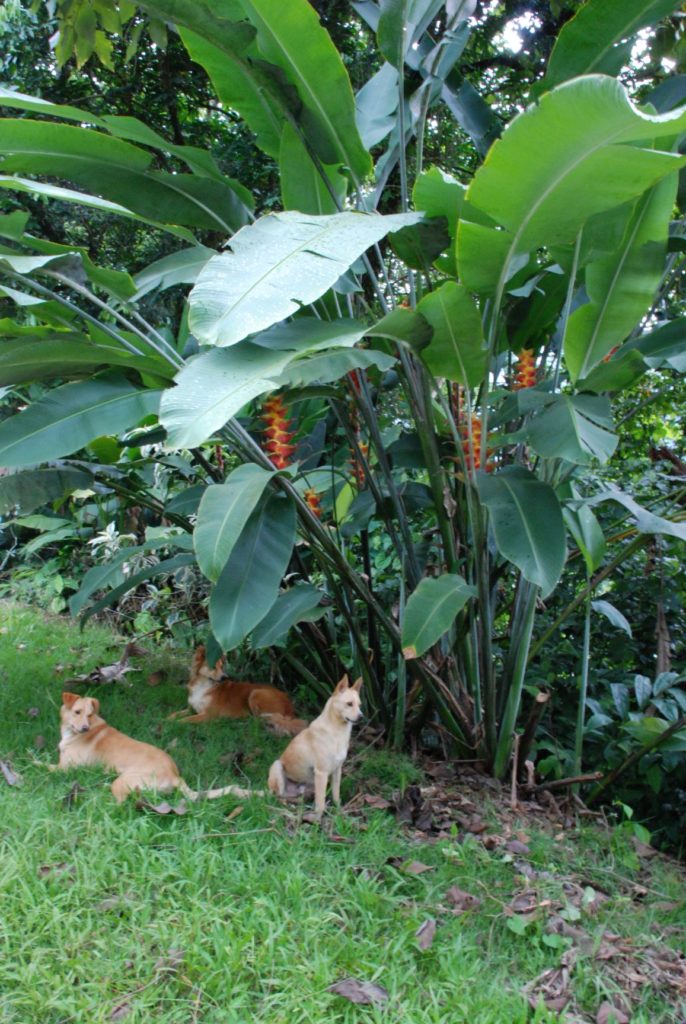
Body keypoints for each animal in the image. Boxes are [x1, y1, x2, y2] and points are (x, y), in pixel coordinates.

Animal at [57, 692, 258, 802]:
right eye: (77, 712)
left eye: (90, 715)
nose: (85, 728)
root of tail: (175, 776)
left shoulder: (64, 768)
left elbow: (47, 766)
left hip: (122, 782)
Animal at [167, 647, 307, 737]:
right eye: (213, 667)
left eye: (222, 666)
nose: (225, 677)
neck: (204, 685)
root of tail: (289, 704)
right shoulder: (191, 708)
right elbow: (175, 714)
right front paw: (166, 718)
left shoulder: (208, 715)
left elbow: (185, 720)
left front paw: (173, 724)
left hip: (256, 693)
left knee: (259, 721)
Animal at [268, 675, 364, 819]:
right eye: (349, 704)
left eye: (359, 705)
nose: (361, 717)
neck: (337, 732)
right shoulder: (321, 773)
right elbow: (321, 803)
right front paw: (317, 819)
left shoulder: (337, 771)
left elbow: (336, 795)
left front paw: (339, 812)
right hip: (277, 766)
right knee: (277, 796)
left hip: (310, 786)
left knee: (293, 798)